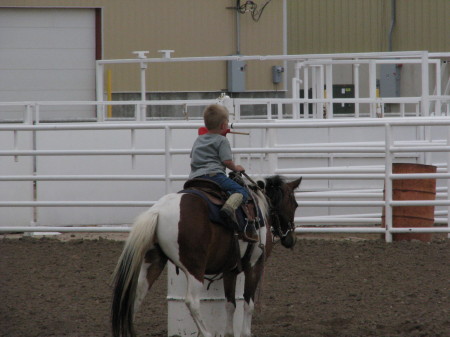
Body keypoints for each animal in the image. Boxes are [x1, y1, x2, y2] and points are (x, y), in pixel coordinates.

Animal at [111, 176, 302, 336]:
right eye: (295, 204)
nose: (291, 239)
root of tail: (159, 211)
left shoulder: (230, 270)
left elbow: (230, 304)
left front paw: (229, 333)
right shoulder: (254, 265)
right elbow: (248, 304)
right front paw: (246, 333)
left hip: (153, 261)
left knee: (136, 295)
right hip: (195, 268)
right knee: (192, 302)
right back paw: (206, 333)